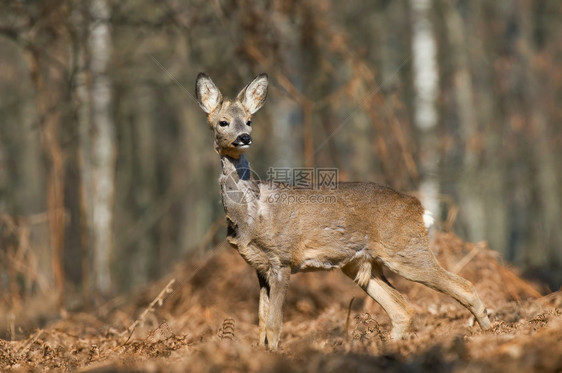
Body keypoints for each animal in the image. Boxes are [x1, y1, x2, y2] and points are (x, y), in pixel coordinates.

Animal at [195, 72, 488, 348]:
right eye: (223, 122)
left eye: (249, 121)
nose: (244, 138)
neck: (252, 213)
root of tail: (418, 209)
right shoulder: (259, 266)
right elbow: (261, 323)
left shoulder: (283, 258)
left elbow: (275, 324)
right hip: (361, 264)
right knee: (402, 307)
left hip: (406, 249)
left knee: (464, 286)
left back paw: (489, 331)